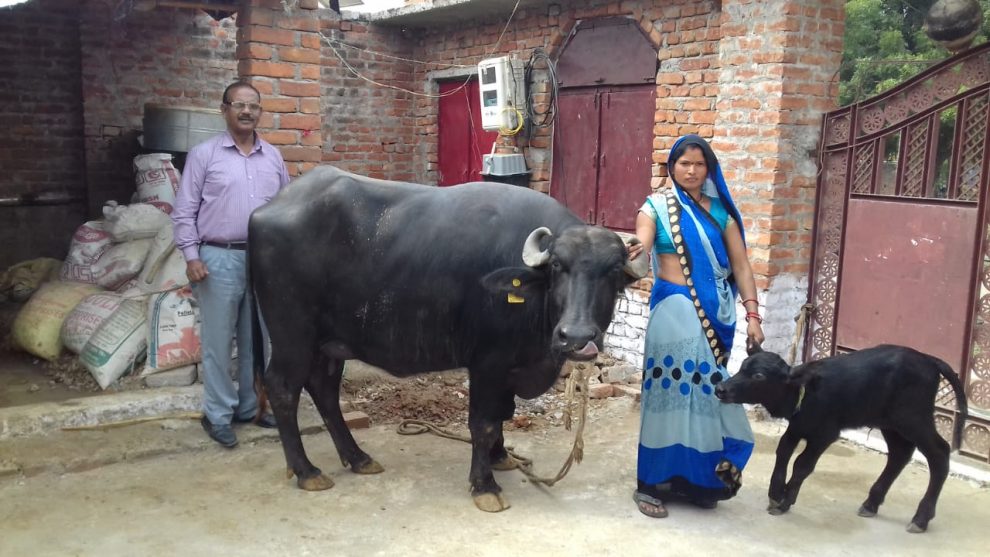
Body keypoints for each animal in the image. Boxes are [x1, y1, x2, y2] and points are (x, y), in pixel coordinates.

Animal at [248, 167, 648, 510]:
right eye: (557, 267)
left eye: (613, 271)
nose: (575, 337)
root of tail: (263, 211)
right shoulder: (488, 362)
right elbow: (483, 422)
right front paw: (484, 485)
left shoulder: (509, 365)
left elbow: (504, 413)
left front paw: (500, 457)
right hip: (292, 335)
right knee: (282, 388)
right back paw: (307, 471)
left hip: (330, 343)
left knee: (325, 390)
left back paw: (358, 458)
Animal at [716, 340, 964, 532]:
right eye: (742, 367)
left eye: (758, 376)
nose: (721, 389)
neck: (805, 393)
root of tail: (928, 359)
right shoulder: (797, 427)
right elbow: (783, 452)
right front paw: (776, 493)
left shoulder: (825, 434)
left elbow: (802, 464)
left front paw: (785, 501)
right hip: (891, 423)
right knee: (899, 454)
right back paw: (871, 504)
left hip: (915, 419)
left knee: (939, 453)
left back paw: (921, 518)